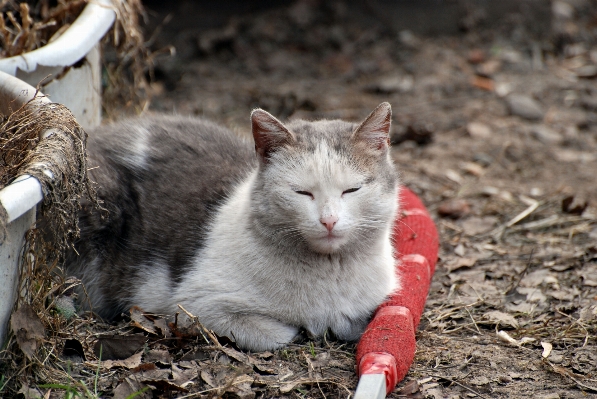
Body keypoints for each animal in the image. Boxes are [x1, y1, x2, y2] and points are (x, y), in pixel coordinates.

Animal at [65, 101, 398, 352]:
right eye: (302, 192)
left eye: (351, 190)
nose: (329, 220)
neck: (330, 275)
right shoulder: (196, 306)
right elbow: (277, 334)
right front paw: (305, 327)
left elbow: (357, 322)